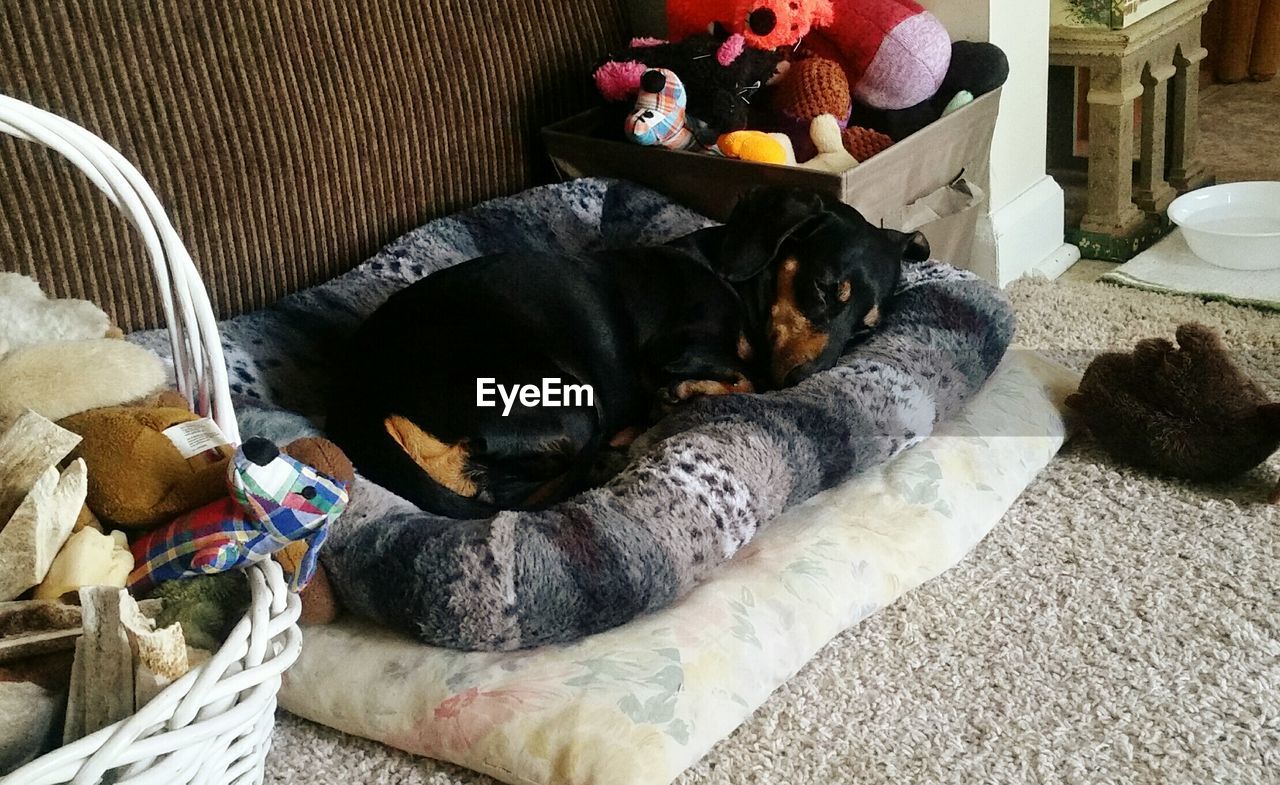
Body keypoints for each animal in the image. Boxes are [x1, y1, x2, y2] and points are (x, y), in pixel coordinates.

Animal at [325, 185, 926, 514]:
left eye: (866, 329)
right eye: (823, 288)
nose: (808, 379)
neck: (735, 282)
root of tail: (356, 393)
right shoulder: (675, 351)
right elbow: (746, 376)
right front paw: (686, 393)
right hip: (563, 402)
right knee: (514, 500)